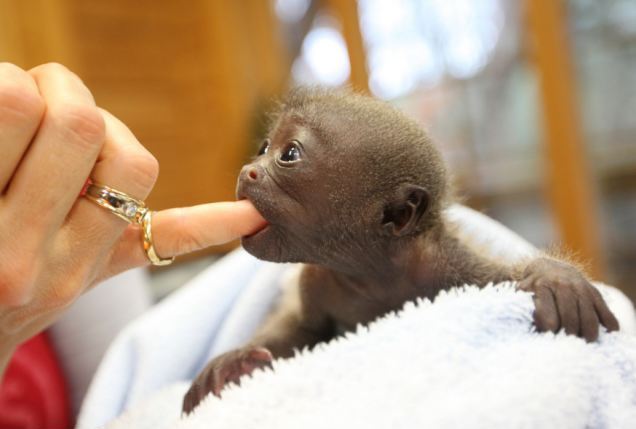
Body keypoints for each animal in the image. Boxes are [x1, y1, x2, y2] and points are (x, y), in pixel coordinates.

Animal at [181, 88, 620, 414]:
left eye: (289, 154)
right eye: (263, 146)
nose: (248, 171)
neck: (373, 271)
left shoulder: (445, 261)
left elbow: (499, 278)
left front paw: (555, 277)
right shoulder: (315, 281)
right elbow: (303, 331)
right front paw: (235, 362)